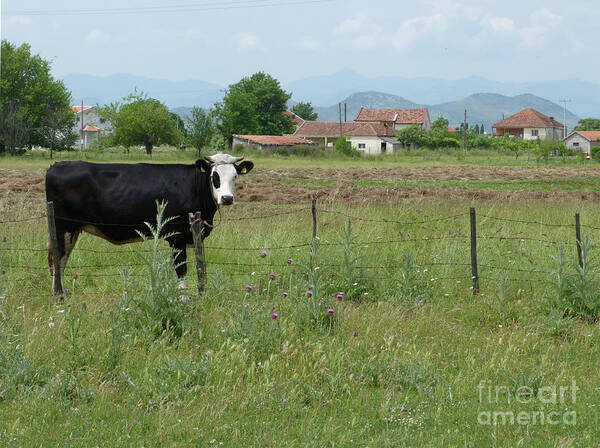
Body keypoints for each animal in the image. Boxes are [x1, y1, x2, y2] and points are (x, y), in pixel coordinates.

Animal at [44, 154, 254, 298]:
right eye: (214, 176)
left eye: (235, 176)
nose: (227, 198)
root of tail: (57, 165)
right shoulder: (177, 236)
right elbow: (181, 270)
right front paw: (183, 299)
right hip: (62, 227)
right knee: (57, 260)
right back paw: (59, 296)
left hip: (72, 230)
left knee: (61, 261)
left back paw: (62, 294)